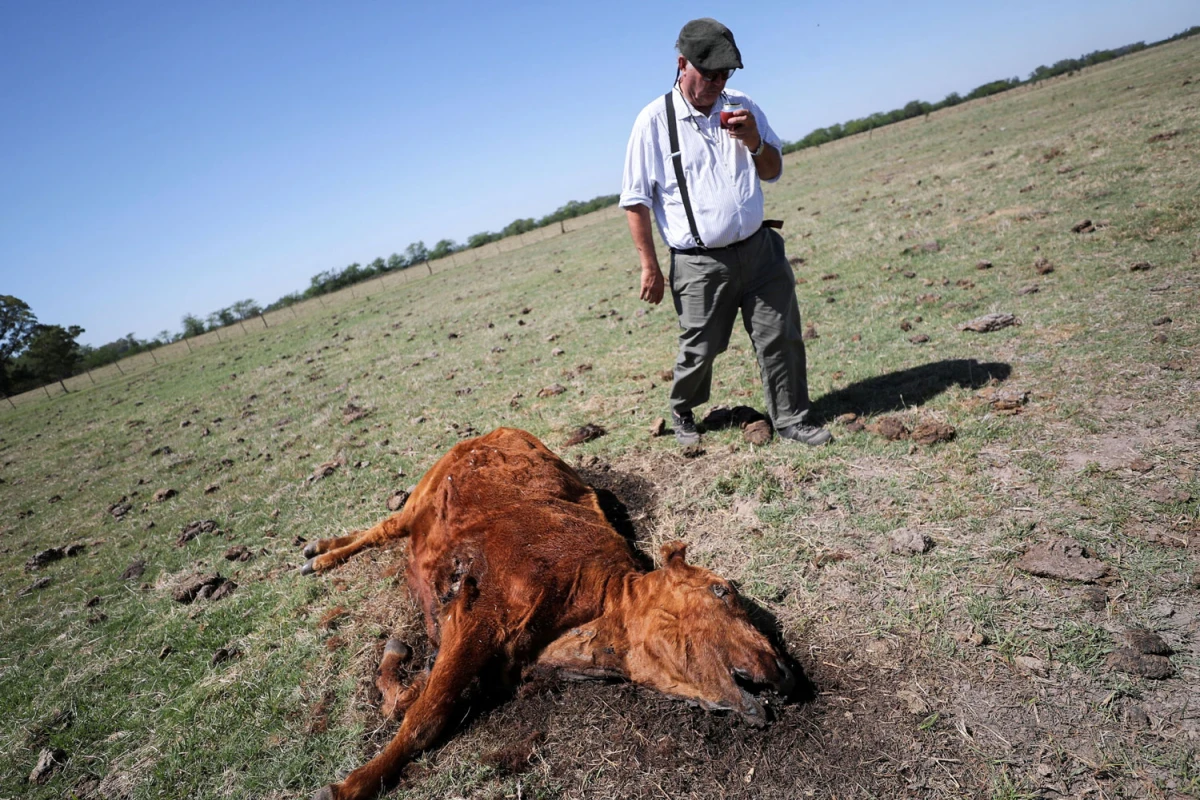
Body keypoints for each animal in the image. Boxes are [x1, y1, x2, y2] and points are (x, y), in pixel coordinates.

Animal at [300, 429, 796, 796]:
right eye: (722, 590)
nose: (782, 667)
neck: (596, 604)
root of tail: (497, 431)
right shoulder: (478, 616)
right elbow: (426, 715)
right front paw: (348, 787)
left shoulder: (493, 658)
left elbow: (412, 698)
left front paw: (395, 657)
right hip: (421, 496)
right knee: (381, 528)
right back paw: (320, 555)